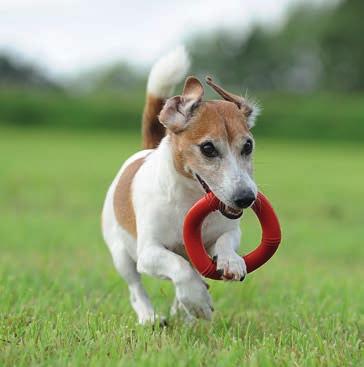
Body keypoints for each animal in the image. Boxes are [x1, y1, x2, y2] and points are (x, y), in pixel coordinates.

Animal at [101, 46, 258, 324]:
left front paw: (231, 262)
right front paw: (197, 301)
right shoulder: (150, 252)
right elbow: (180, 267)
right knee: (135, 287)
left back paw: (184, 312)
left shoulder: (226, 233)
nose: (246, 198)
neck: (188, 201)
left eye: (248, 145)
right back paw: (150, 316)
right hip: (121, 254)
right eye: (208, 148)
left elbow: (225, 242)